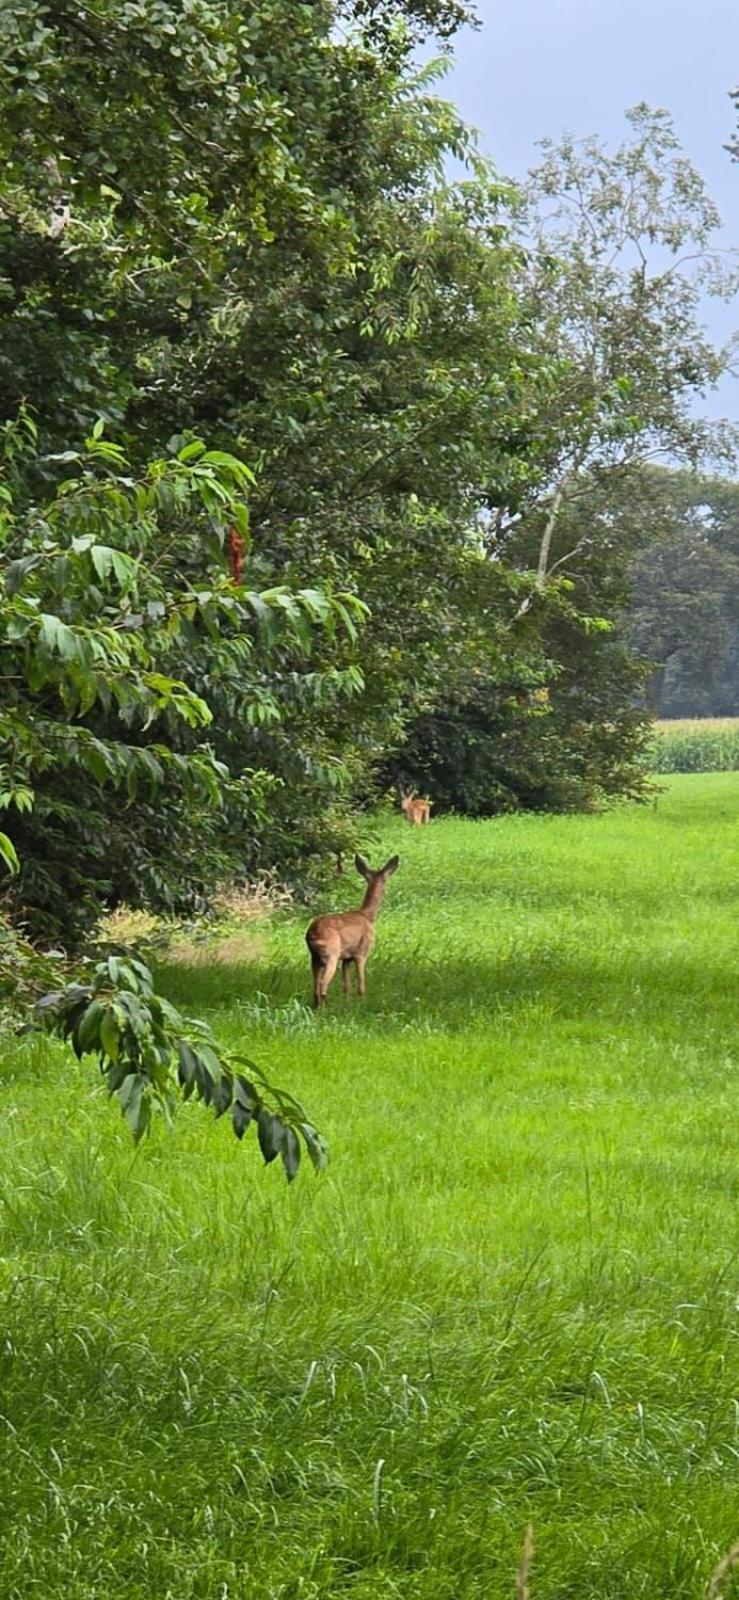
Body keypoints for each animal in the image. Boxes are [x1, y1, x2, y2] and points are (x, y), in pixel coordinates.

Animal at [303, 857, 401, 1004]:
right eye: (385, 879)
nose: (387, 891)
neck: (367, 916)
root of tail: (313, 933)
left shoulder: (346, 958)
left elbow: (347, 985)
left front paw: (347, 1004)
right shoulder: (361, 952)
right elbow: (361, 984)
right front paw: (362, 1004)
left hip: (314, 958)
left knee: (315, 987)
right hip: (331, 954)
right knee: (322, 984)